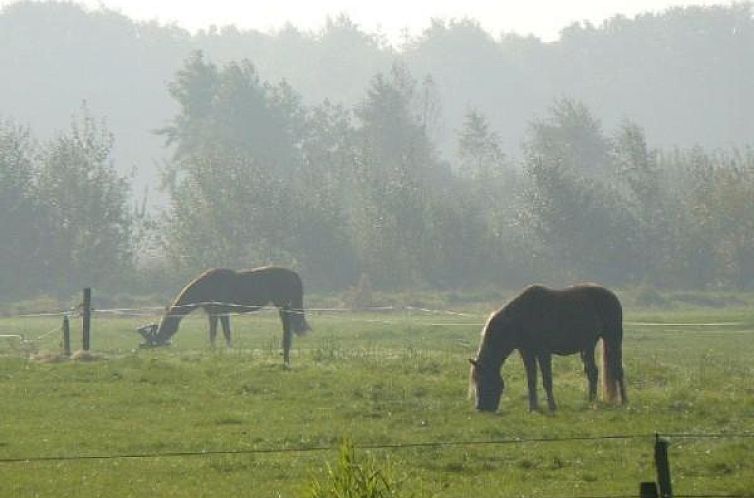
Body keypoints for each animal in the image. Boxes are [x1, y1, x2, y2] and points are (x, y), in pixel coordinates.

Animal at [137, 266, 310, 364]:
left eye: (166, 325)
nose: (157, 343)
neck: (206, 286)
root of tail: (294, 274)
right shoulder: (214, 313)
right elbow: (215, 332)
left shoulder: (221, 311)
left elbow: (224, 332)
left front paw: (225, 349)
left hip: (283, 305)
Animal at [468, 282, 624, 414]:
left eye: (483, 380)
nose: (480, 408)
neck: (522, 317)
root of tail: (613, 296)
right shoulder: (527, 352)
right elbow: (531, 380)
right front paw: (533, 408)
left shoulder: (543, 352)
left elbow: (547, 380)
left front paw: (552, 406)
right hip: (588, 345)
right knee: (593, 372)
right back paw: (591, 402)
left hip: (613, 339)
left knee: (618, 371)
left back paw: (624, 401)